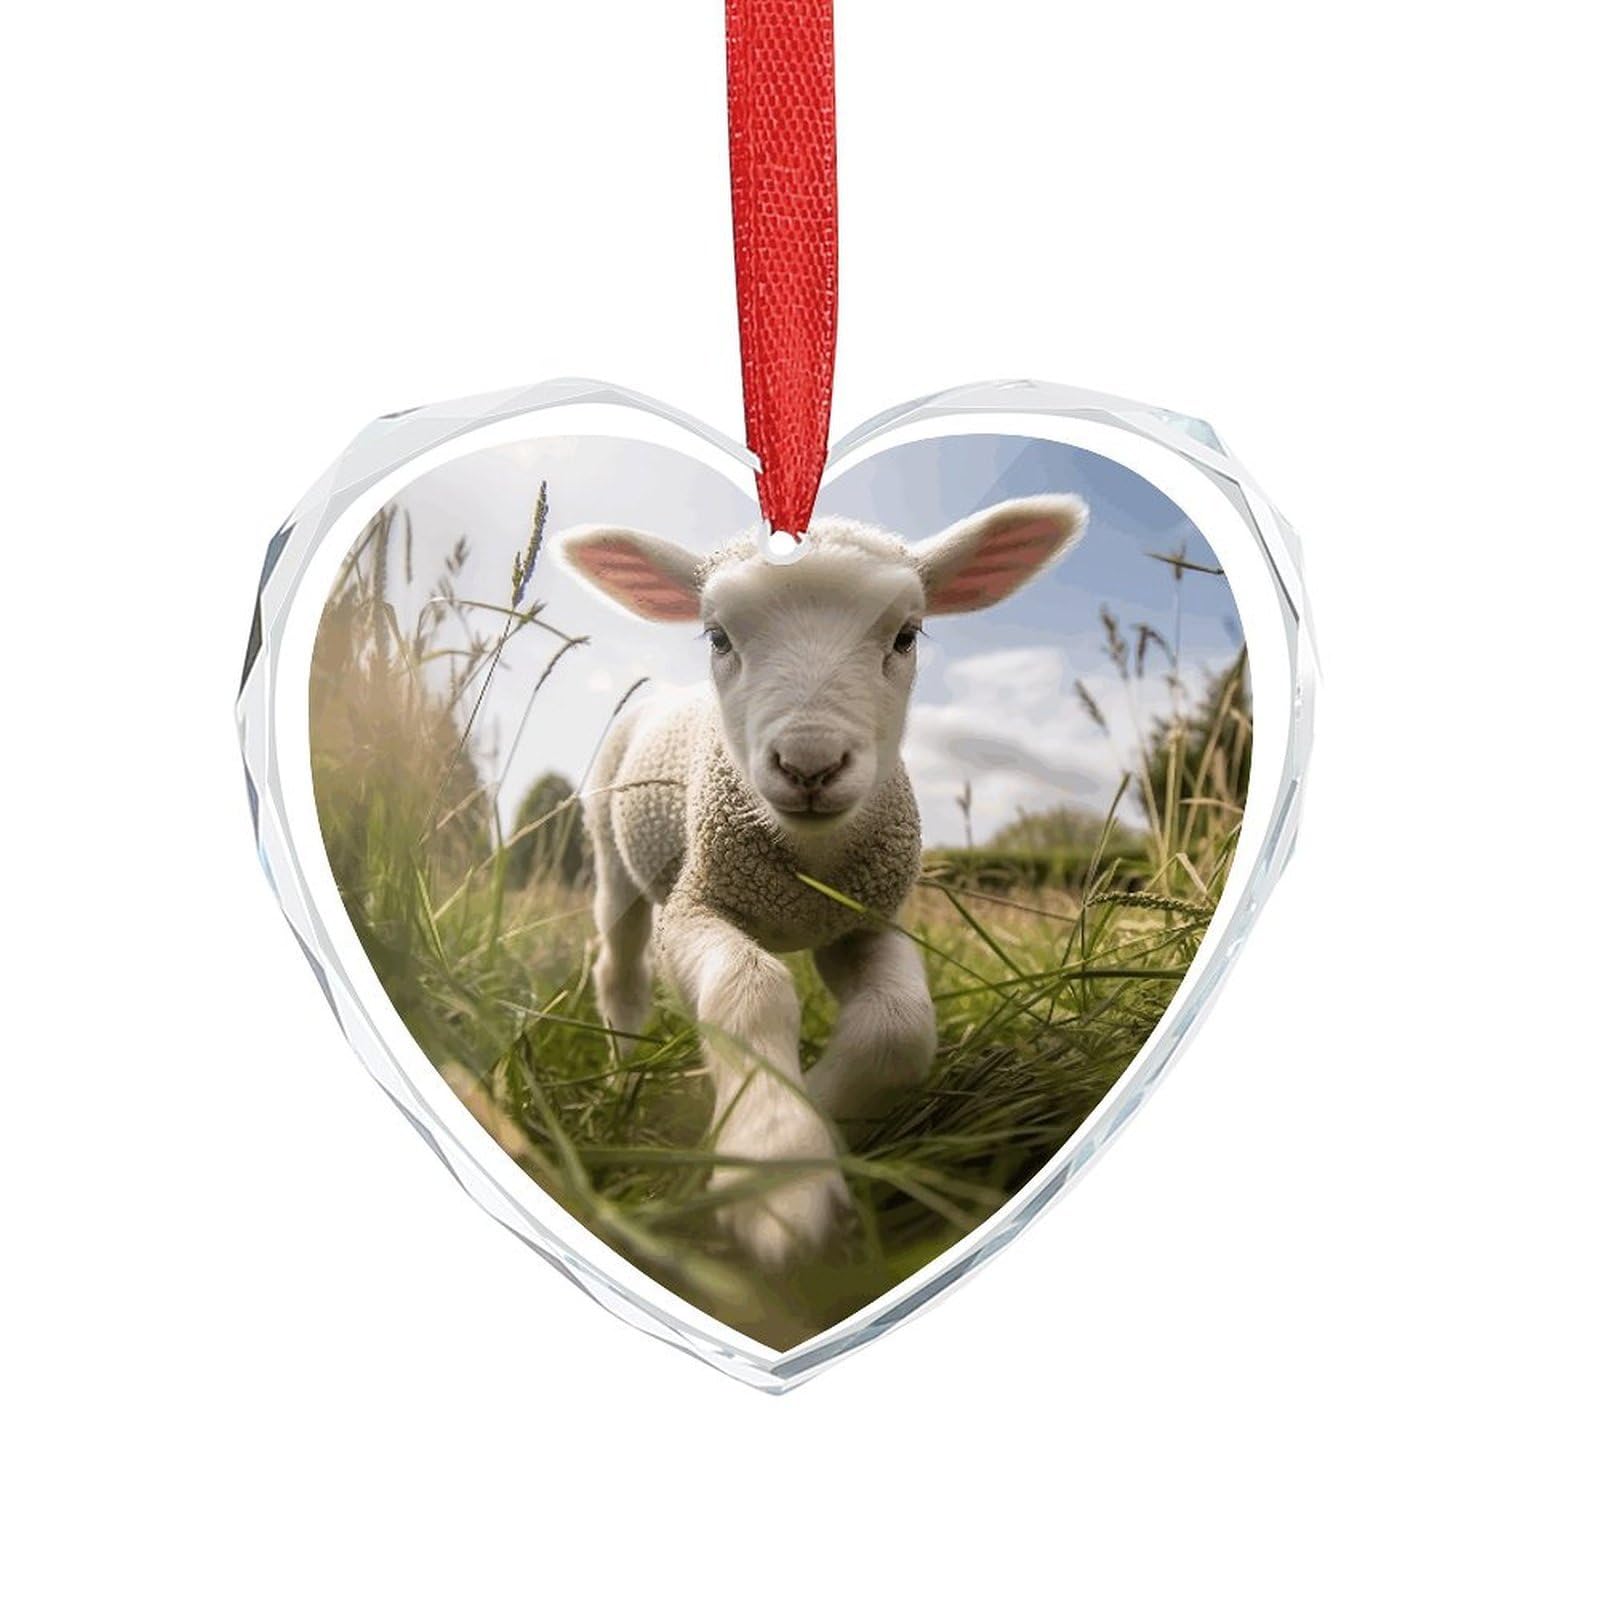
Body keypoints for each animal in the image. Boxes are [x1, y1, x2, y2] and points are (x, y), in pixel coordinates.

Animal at [558, 495, 1088, 1267]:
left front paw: (822, 1114)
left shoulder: (865, 920)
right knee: (620, 973)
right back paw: (621, 1080)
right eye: (718, 636)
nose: (810, 764)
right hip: (614, 856)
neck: (806, 868)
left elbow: (898, 1028)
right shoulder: (695, 905)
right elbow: (749, 987)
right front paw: (777, 1165)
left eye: (906, 635)